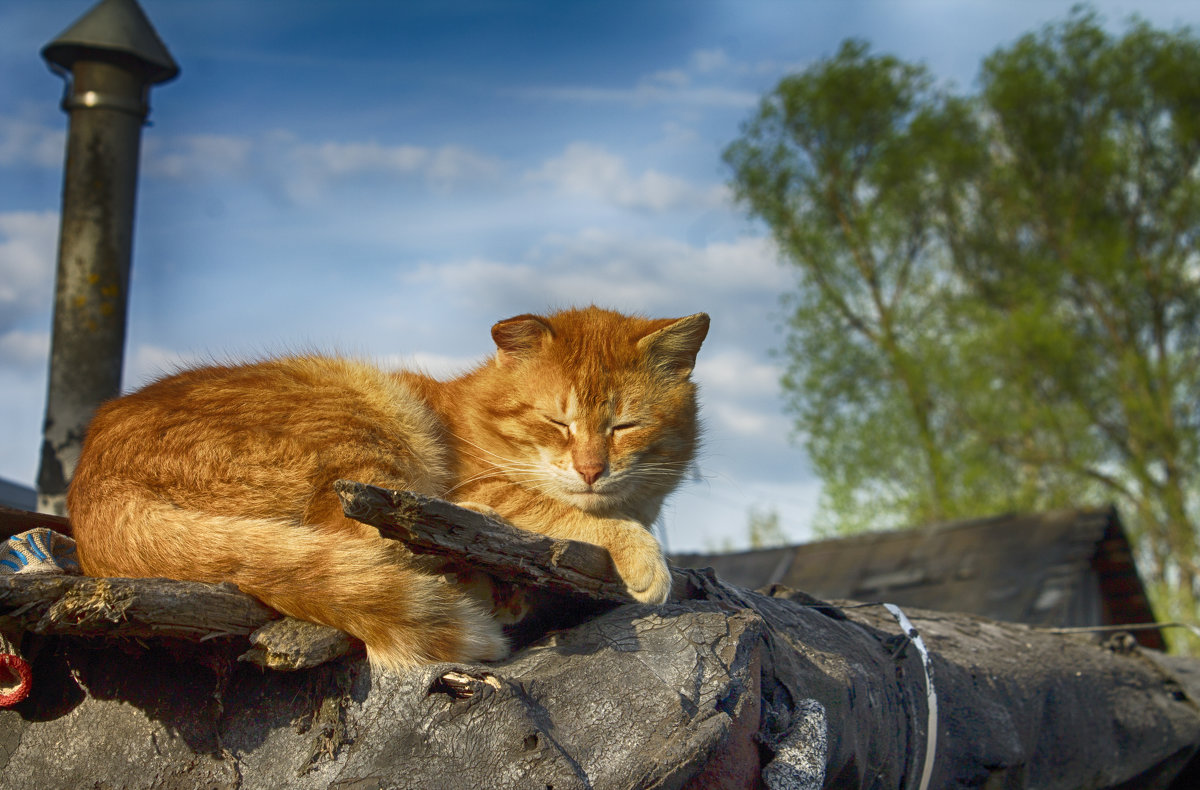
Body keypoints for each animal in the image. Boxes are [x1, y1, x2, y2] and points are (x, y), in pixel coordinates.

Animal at [68, 307, 700, 672]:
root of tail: (91, 482)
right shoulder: (486, 486)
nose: (592, 470)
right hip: (367, 432)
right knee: (367, 534)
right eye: (556, 422)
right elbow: (558, 511)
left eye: (625, 426)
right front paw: (643, 555)